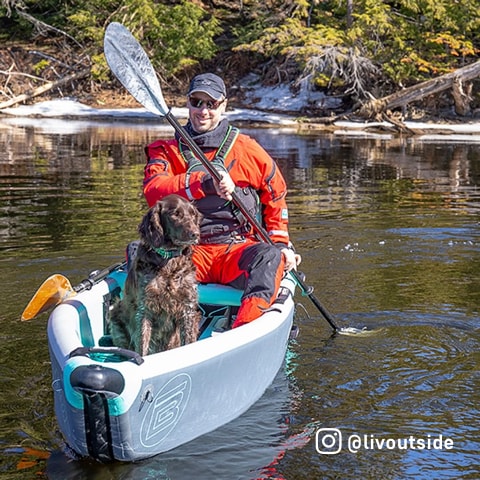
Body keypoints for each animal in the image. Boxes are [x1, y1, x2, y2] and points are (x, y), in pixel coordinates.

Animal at [109, 195, 202, 356]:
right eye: (175, 214)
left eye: (193, 214)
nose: (195, 234)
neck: (169, 262)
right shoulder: (144, 310)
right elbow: (142, 347)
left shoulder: (188, 308)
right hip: (116, 315)